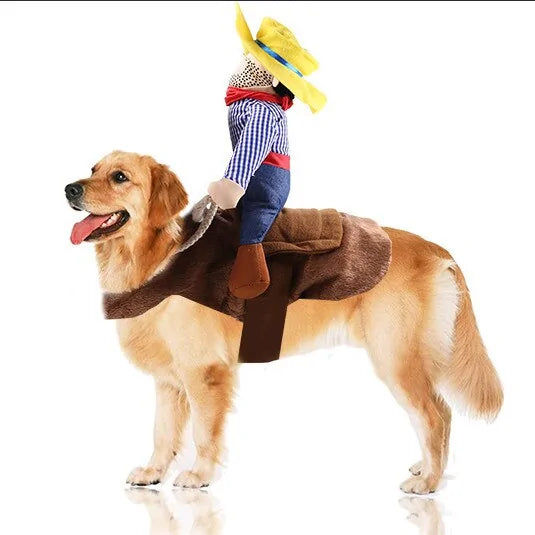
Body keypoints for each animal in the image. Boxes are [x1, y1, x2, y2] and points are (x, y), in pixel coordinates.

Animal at [65, 151, 504, 494]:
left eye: (120, 177)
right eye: (93, 168)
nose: (69, 189)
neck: (157, 258)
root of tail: (435, 249)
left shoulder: (206, 373)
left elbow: (204, 432)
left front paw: (199, 475)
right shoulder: (170, 380)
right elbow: (162, 431)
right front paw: (153, 472)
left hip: (396, 357)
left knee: (434, 415)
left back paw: (428, 481)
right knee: (441, 413)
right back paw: (429, 468)